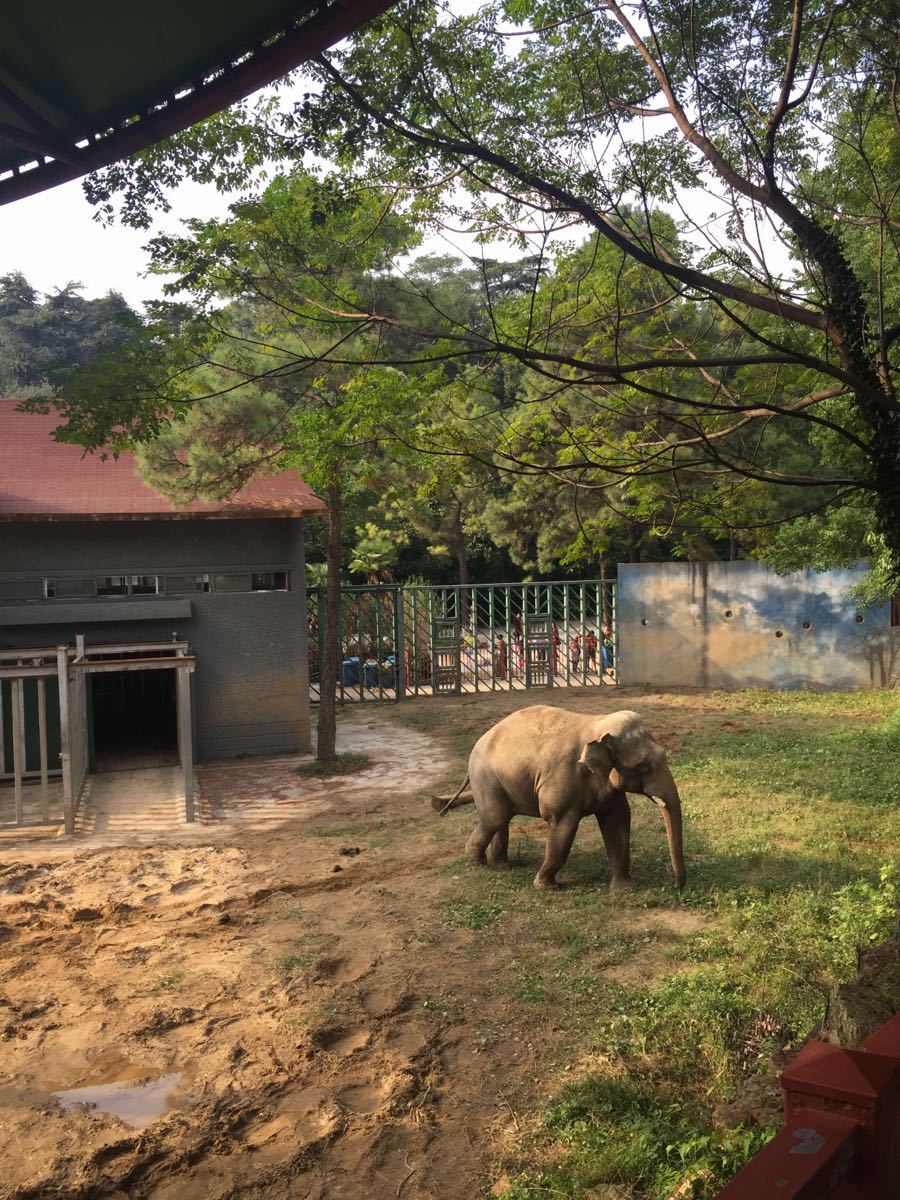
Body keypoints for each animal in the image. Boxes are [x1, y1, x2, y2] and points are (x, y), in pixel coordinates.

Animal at [434, 700, 686, 892]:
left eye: (663, 755)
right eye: (643, 765)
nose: (675, 886)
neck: (598, 725)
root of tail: (481, 740)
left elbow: (617, 823)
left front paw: (625, 888)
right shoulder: (563, 782)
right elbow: (562, 829)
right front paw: (547, 886)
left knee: (501, 818)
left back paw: (502, 865)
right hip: (486, 777)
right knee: (495, 818)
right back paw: (478, 863)